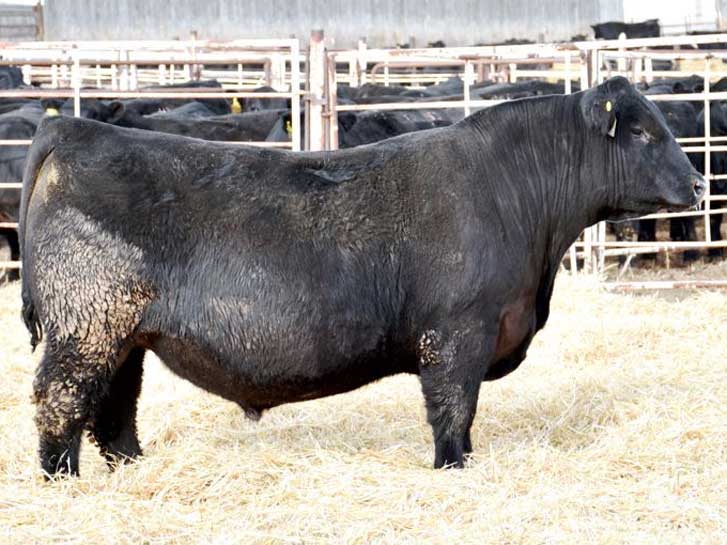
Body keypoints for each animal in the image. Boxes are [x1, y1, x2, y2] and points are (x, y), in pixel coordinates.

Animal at [19, 77, 704, 477]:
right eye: (642, 131)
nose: (699, 183)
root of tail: (73, 126)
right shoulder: (458, 335)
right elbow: (453, 410)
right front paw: (453, 470)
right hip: (85, 329)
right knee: (60, 403)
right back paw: (62, 481)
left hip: (121, 334)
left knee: (114, 408)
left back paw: (130, 469)